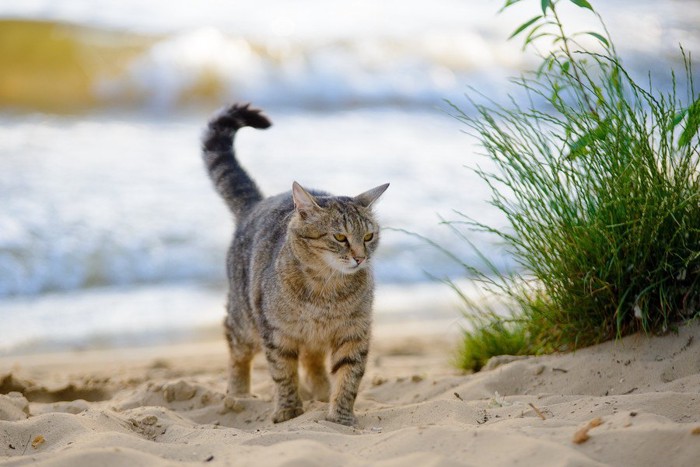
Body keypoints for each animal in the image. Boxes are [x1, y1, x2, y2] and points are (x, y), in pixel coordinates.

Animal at [201, 103, 388, 428]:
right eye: (340, 237)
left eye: (368, 236)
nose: (360, 257)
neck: (327, 287)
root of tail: (256, 204)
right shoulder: (276, 333)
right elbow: (283, 375)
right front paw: (289, 411)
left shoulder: (354, 332)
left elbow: (349, 376)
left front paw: (340, 416)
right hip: (244, 320)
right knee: (237, 353)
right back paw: (238, 395)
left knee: (312, 362)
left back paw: (321, 394)